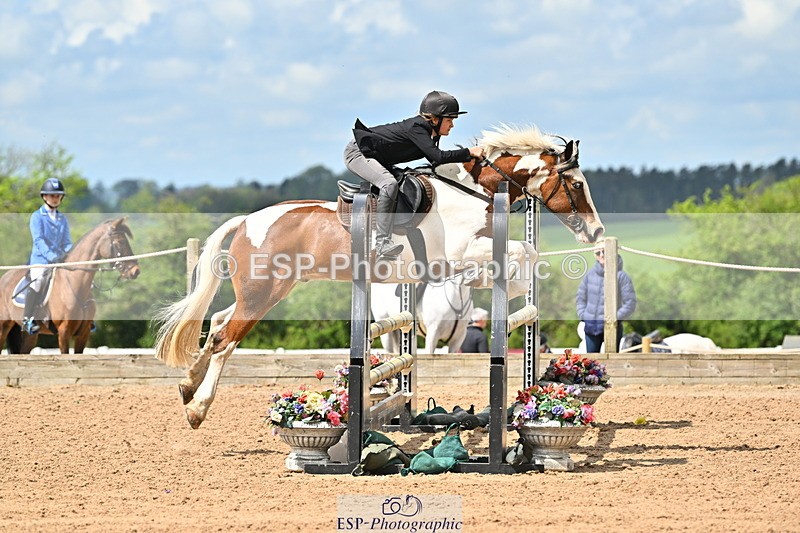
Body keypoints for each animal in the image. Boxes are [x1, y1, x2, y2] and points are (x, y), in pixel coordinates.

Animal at [0, 218, 141, 354]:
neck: (76, 285)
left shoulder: (83, 334)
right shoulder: (64, 332)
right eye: (119, 243)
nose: (135, 271)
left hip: (30, 335)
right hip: (3, 327)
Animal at [155, 125, 605, 429]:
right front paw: (508, 284)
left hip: (266, 290)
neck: (472, 192)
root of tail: (247, 220)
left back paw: (187, 385)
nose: (596, 233)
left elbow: (523, 254)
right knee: (226, 340)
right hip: (262, 294)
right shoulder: (459, 253)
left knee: (216, 323)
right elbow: (520, 253)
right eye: (576, 184)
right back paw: (197, 409)